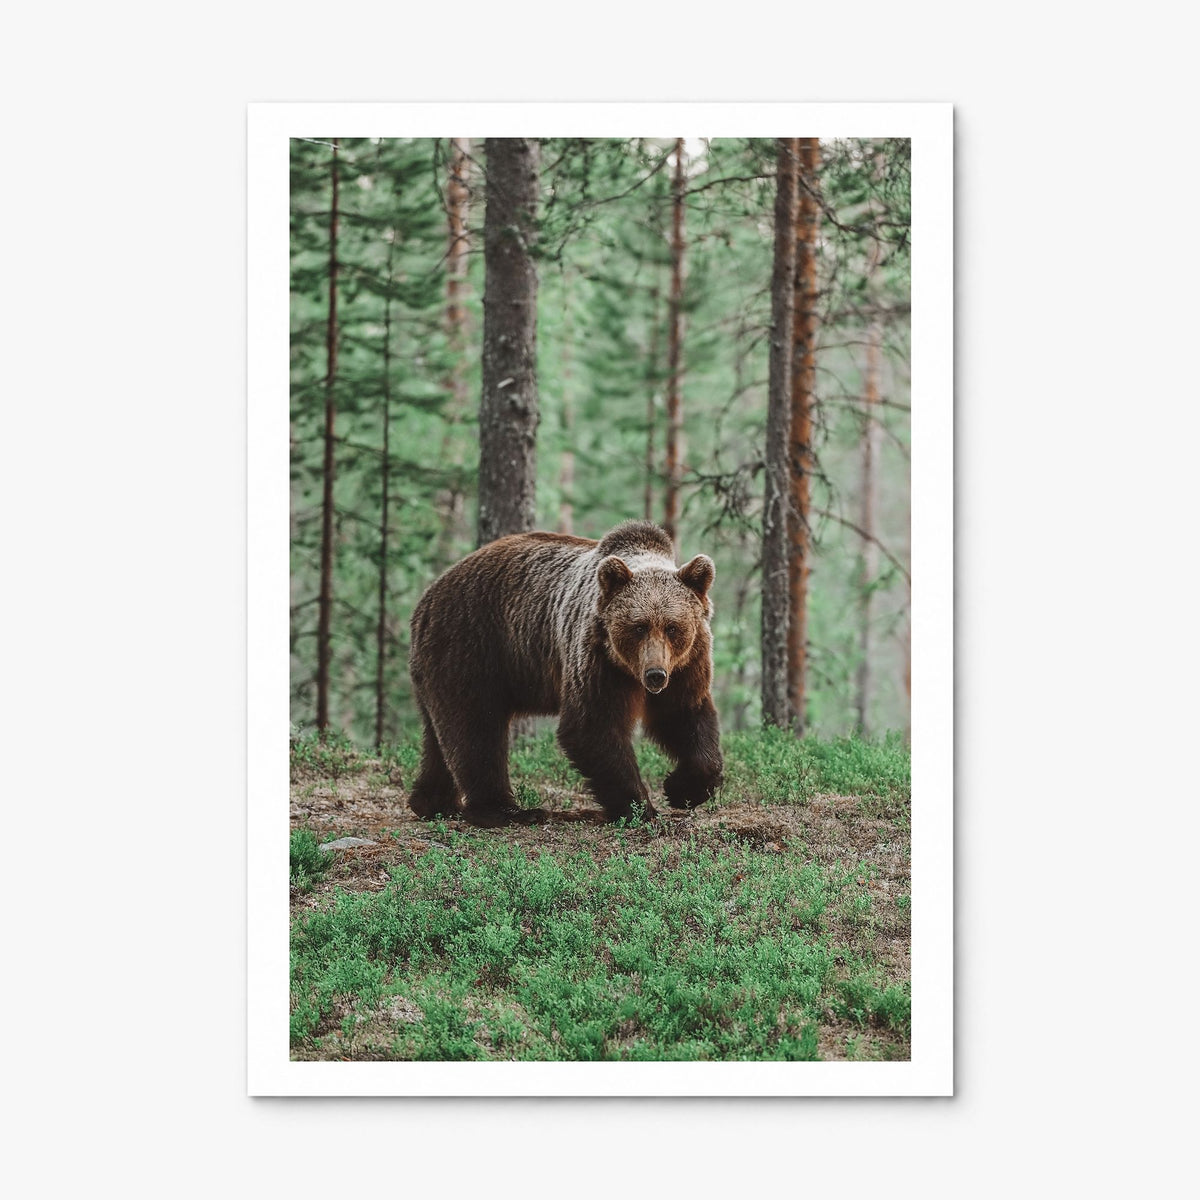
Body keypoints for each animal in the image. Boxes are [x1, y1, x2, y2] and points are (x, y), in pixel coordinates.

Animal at [407, 519, 724, 827]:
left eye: (672, 627)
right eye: (639, 626)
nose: (655, 674)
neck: (628, 670)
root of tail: (426, 598)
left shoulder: (686, 664)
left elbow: (683, 715)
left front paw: (681, 789)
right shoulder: (597, 658)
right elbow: (591, 726)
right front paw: (640, 808)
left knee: (440, 735)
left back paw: (432, 803)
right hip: (472, 647)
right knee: (476, 729)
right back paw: (506, 810)